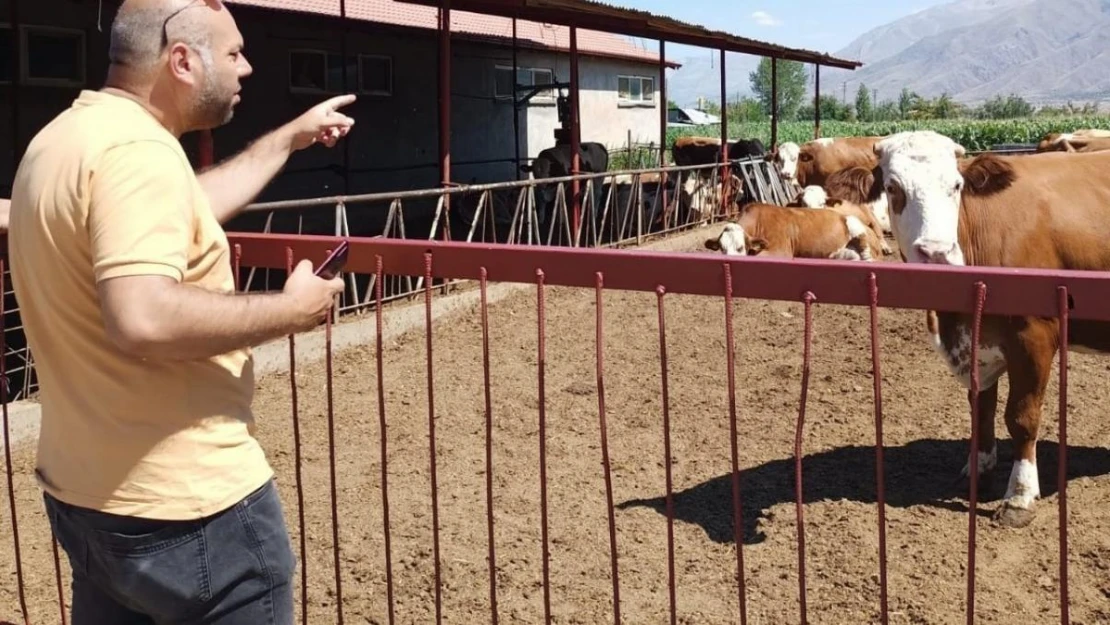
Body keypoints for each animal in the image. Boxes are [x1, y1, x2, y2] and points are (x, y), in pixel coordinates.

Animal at [870, 130, 1110, 528]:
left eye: (956, 185)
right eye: (892, 187)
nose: (937, 253)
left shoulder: (1034, 336)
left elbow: (1022, 417)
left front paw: (1020, 496)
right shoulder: (976, 345)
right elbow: (981, 410)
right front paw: (978, 473)